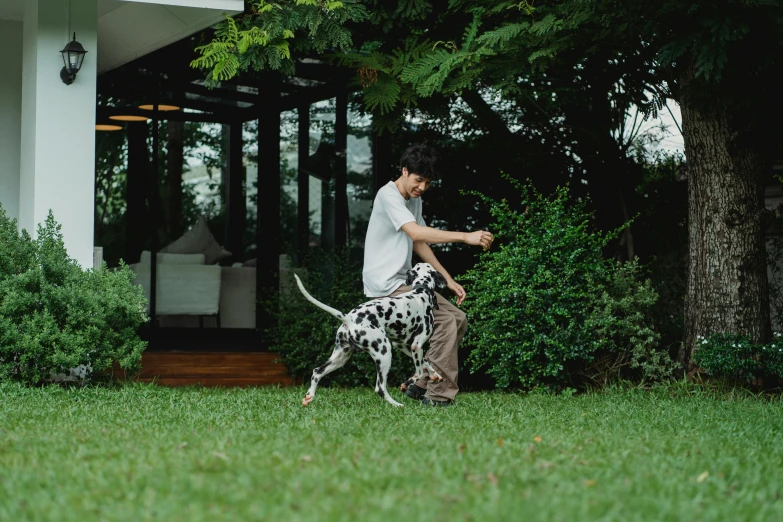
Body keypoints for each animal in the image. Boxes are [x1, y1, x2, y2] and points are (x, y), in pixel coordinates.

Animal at [294, 262, 450, 404]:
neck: (420, 292)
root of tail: (349, 319)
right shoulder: (416, 346)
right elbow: (419, 371)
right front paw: (408, 383)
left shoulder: (403, 345)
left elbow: (426, 362)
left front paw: (435, 374)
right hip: (385, 353)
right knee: (380, 388)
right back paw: (397, 405)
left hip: (341, 358)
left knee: (317, 372)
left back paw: (309, 396)